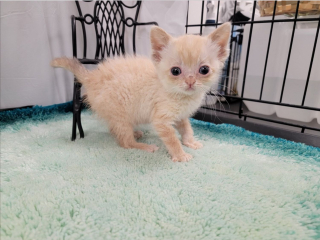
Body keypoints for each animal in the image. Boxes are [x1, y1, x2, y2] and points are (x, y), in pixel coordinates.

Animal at [50, 22, 230, 162]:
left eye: (204, 70)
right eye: (175, 71)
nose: (190, 81)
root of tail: (92, 76)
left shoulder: (181, 115)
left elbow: (186, 128)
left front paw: (190, 142)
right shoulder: (161, 119)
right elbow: (172, 138)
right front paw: (180, 155)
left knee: (115, 129)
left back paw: (134, 133)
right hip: (119, 112)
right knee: (125, 142)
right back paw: (143, 146)